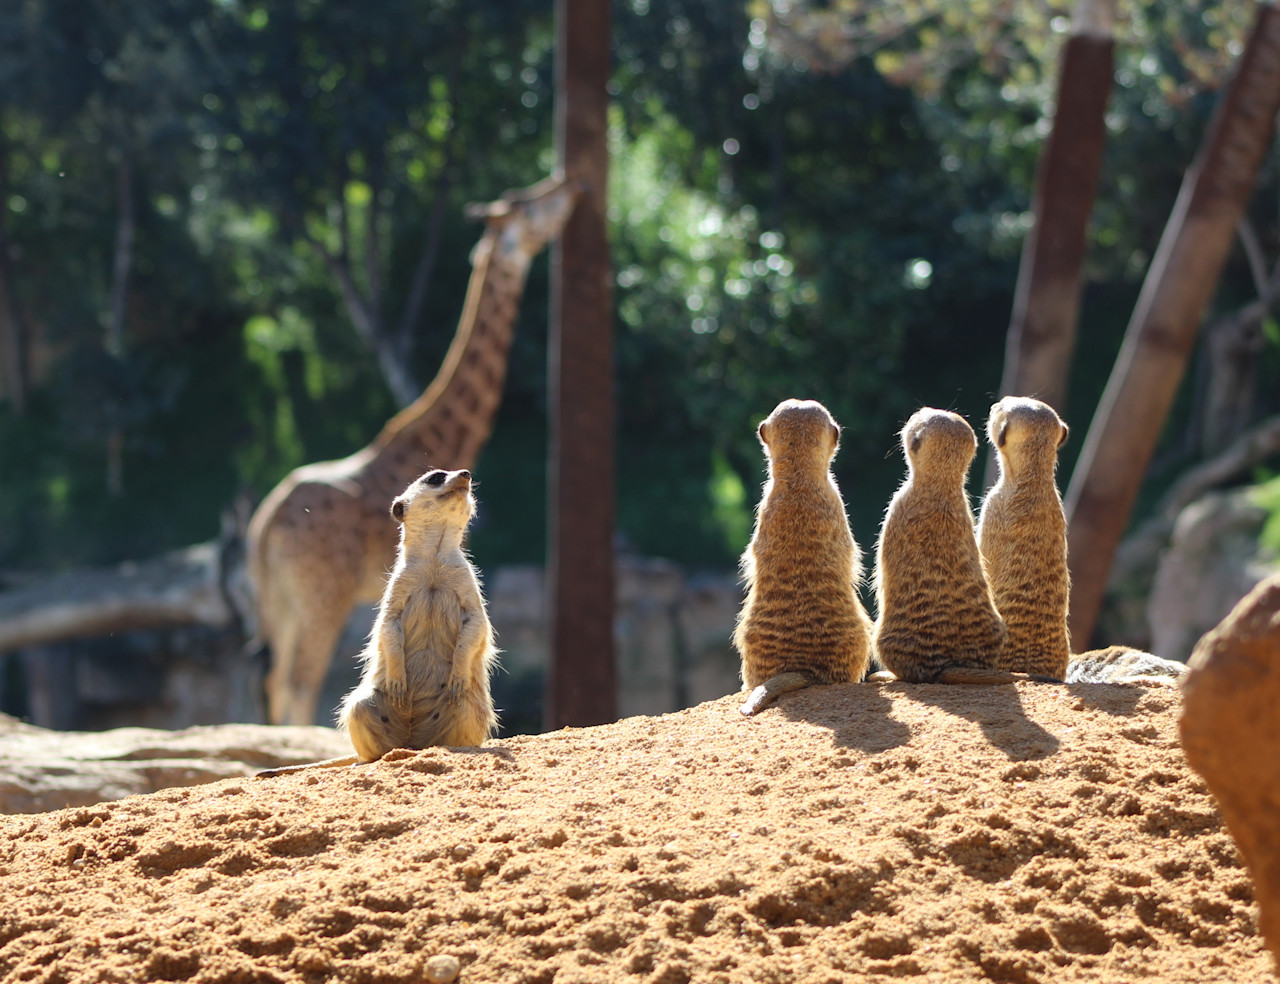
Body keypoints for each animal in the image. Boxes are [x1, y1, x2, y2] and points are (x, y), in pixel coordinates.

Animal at [247, 175, 580, 726]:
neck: (436, 438)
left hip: (278, 603)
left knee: (273, 682)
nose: (570, 187)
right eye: (530, 207)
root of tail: (264, 528)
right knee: (298, 684)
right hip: (321, 597)